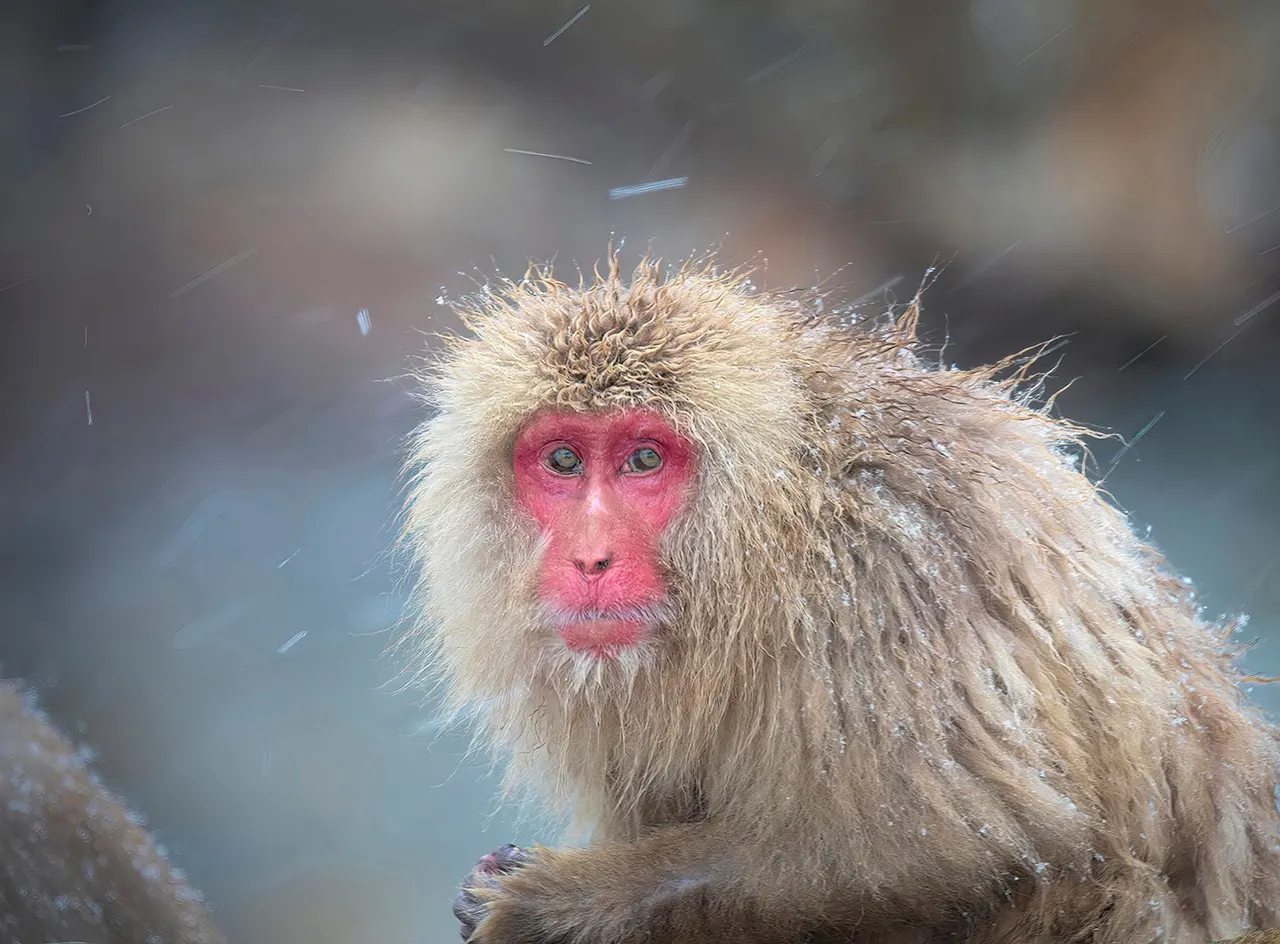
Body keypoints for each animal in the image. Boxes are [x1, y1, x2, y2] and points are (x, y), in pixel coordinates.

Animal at [399, 252, 1280, 944]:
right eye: (563, 461)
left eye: (644, 459)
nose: (590, 557)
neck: (780, 538)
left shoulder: (892, 579)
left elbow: (961, 851)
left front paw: (552, 906)